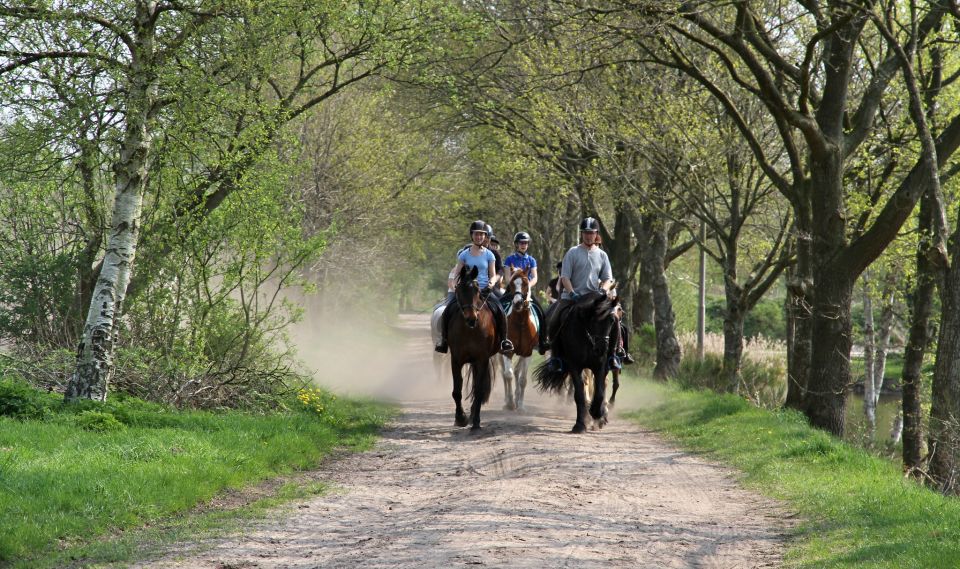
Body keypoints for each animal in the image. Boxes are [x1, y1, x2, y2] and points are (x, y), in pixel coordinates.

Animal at [446, 264, 498, 428]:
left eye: (477, 290)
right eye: (459, 289)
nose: (471, 319)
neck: (469, 329)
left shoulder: (482, 359)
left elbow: (479, 391)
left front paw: (476, 422)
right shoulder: (456, 360)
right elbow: (457, 391)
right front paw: (460, 418)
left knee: (477, 388)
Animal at [502, 268, 540, 410]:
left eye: (525, 283)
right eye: (512, 283)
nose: (518, 303)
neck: (520, 322)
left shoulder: (527, 352)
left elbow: (522, 379)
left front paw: (521, 405)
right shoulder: (507, 351)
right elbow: (508, 374)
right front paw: (510, 403)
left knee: (517, 371)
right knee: (505, 373)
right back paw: (508, 400)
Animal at [532, 292, 624, 430]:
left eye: (612, 321)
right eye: (594, 320)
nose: (602, 349)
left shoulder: (600, 366)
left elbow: (600, 391)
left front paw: (597, 414)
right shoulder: (575, 366)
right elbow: (579, 394)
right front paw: (580, 424)